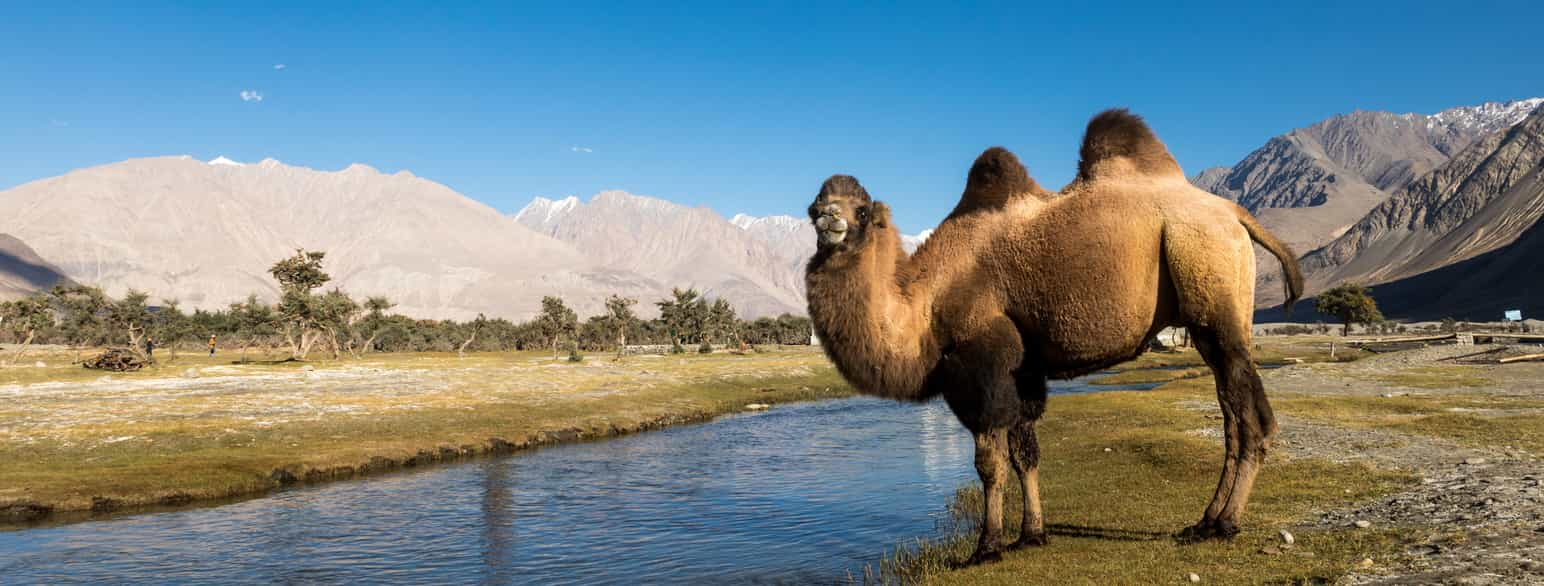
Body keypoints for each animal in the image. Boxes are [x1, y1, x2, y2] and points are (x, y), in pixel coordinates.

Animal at [809, 108, 1303, 564]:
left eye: (861, 211)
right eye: (815, 205)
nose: (829, 219)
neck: (926, 306)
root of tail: (1236, 215)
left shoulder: (983, 364)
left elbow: (990, 463)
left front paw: (986, 547)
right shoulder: (1023, 369)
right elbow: (1026, 452)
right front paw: (1031, 535)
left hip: (1209, 277)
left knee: (1253, 418)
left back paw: (1226, 524)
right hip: (1207, 317)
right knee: (1231, 416)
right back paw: (1205, 521)